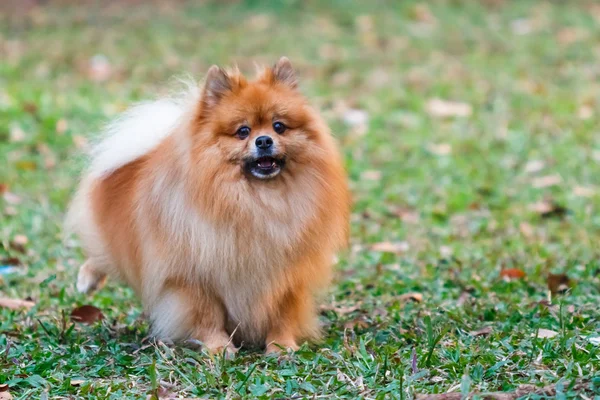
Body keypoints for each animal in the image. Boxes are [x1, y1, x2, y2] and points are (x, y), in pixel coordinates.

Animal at [66, 57, 350, 354]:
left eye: (279, 126)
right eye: (243, 131)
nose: (263, 140)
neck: (258, 203)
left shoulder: (288, 276)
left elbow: (282, 313)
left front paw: (281, 346)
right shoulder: (192, 277)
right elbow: (207, 315)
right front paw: (218, 348)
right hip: (113, 247)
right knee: (99, 258)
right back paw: (87, 280)